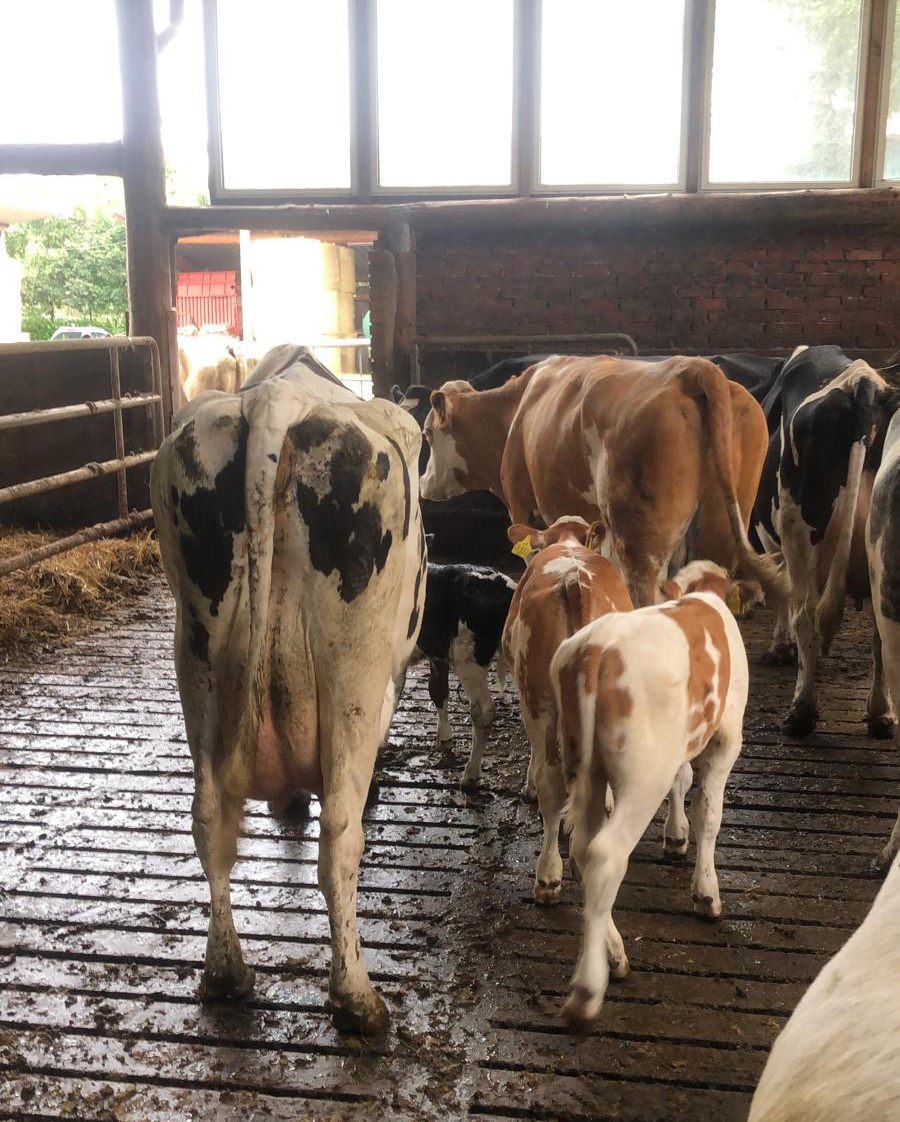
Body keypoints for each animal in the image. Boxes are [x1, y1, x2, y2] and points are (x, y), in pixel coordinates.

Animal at [150, 349, 425, 1036]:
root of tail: (277, 400)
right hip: (354, 666)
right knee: (340, 837)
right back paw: (357, 997)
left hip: (196, 651)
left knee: (210, 820)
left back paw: (226, 973)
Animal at [408, 563, 516, 787]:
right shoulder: (438, 656)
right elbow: (437, 690)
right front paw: (444, 738)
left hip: (468, 661)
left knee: (482, 712)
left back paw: (470, 774)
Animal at [420, 354, 780, 610]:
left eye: (427, 433)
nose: (423, 481)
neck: (517, 409)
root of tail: (692, 370)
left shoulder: (521, 506)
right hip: (721, 527)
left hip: (641, 540)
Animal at [550, 561, 762, 1032]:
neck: (703, 592)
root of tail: (597, 645)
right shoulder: (727, 737)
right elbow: (709, 813)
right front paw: (706, 893)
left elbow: (683, 782)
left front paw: (675, 836)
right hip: (642, 774)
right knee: (606, 854)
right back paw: (587, 992)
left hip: (583, 766)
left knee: (582, 850)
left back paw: (614, 953)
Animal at [751, 345, 890, 735]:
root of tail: (863, 383)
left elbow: (781, 593)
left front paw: (781, 648)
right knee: (880, 625)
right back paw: (881, 713)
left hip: (799, 529)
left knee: (806, 612)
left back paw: (802, 709)